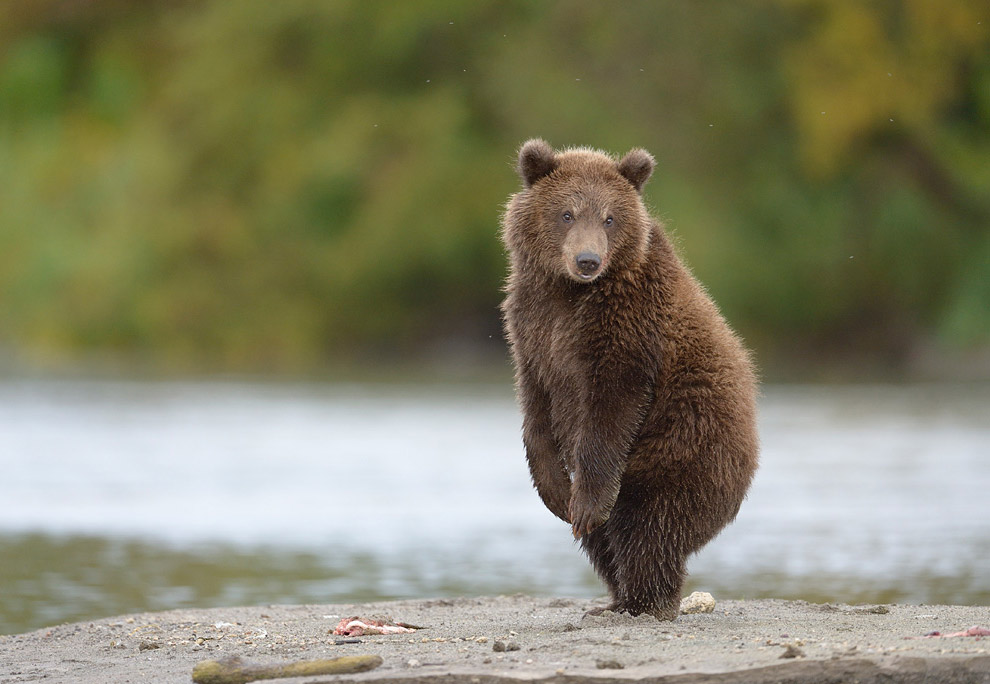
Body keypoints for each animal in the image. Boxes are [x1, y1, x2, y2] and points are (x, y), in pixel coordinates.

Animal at [500, 139, 764, 620]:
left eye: (609, 217)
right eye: (567, 213)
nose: (588, 260)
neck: (569, 292)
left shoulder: (627, 325)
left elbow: (612, 407)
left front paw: (583, 504)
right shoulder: (531, 327)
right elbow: (536, 409)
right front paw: (555, 494)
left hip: (678, 451)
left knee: (647, 527)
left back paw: (645, 600)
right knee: (604, 542)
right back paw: (614, 599)